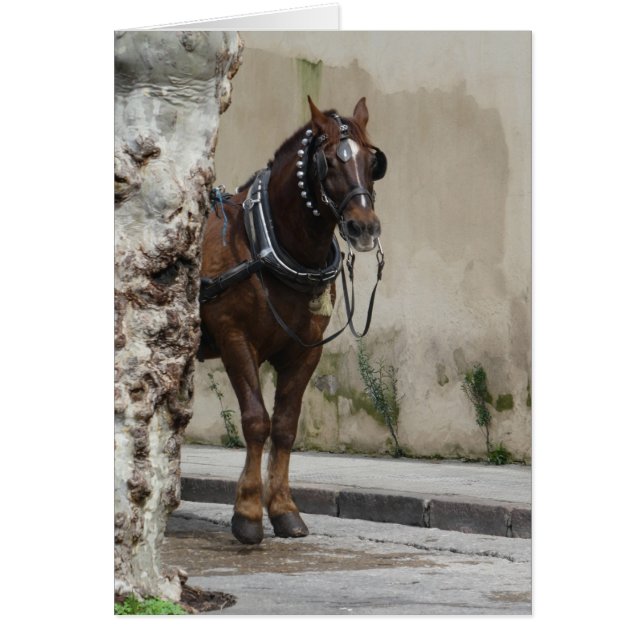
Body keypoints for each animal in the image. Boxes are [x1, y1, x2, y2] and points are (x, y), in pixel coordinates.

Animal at [197, 96, 387, 545]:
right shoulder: (234, 338)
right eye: (328, 163)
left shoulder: (305, 351)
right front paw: (248, 514)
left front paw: (284, 510)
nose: (364, 228)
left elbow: (284, 426)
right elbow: (256, 421)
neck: (266, 242)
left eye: (373, 162)